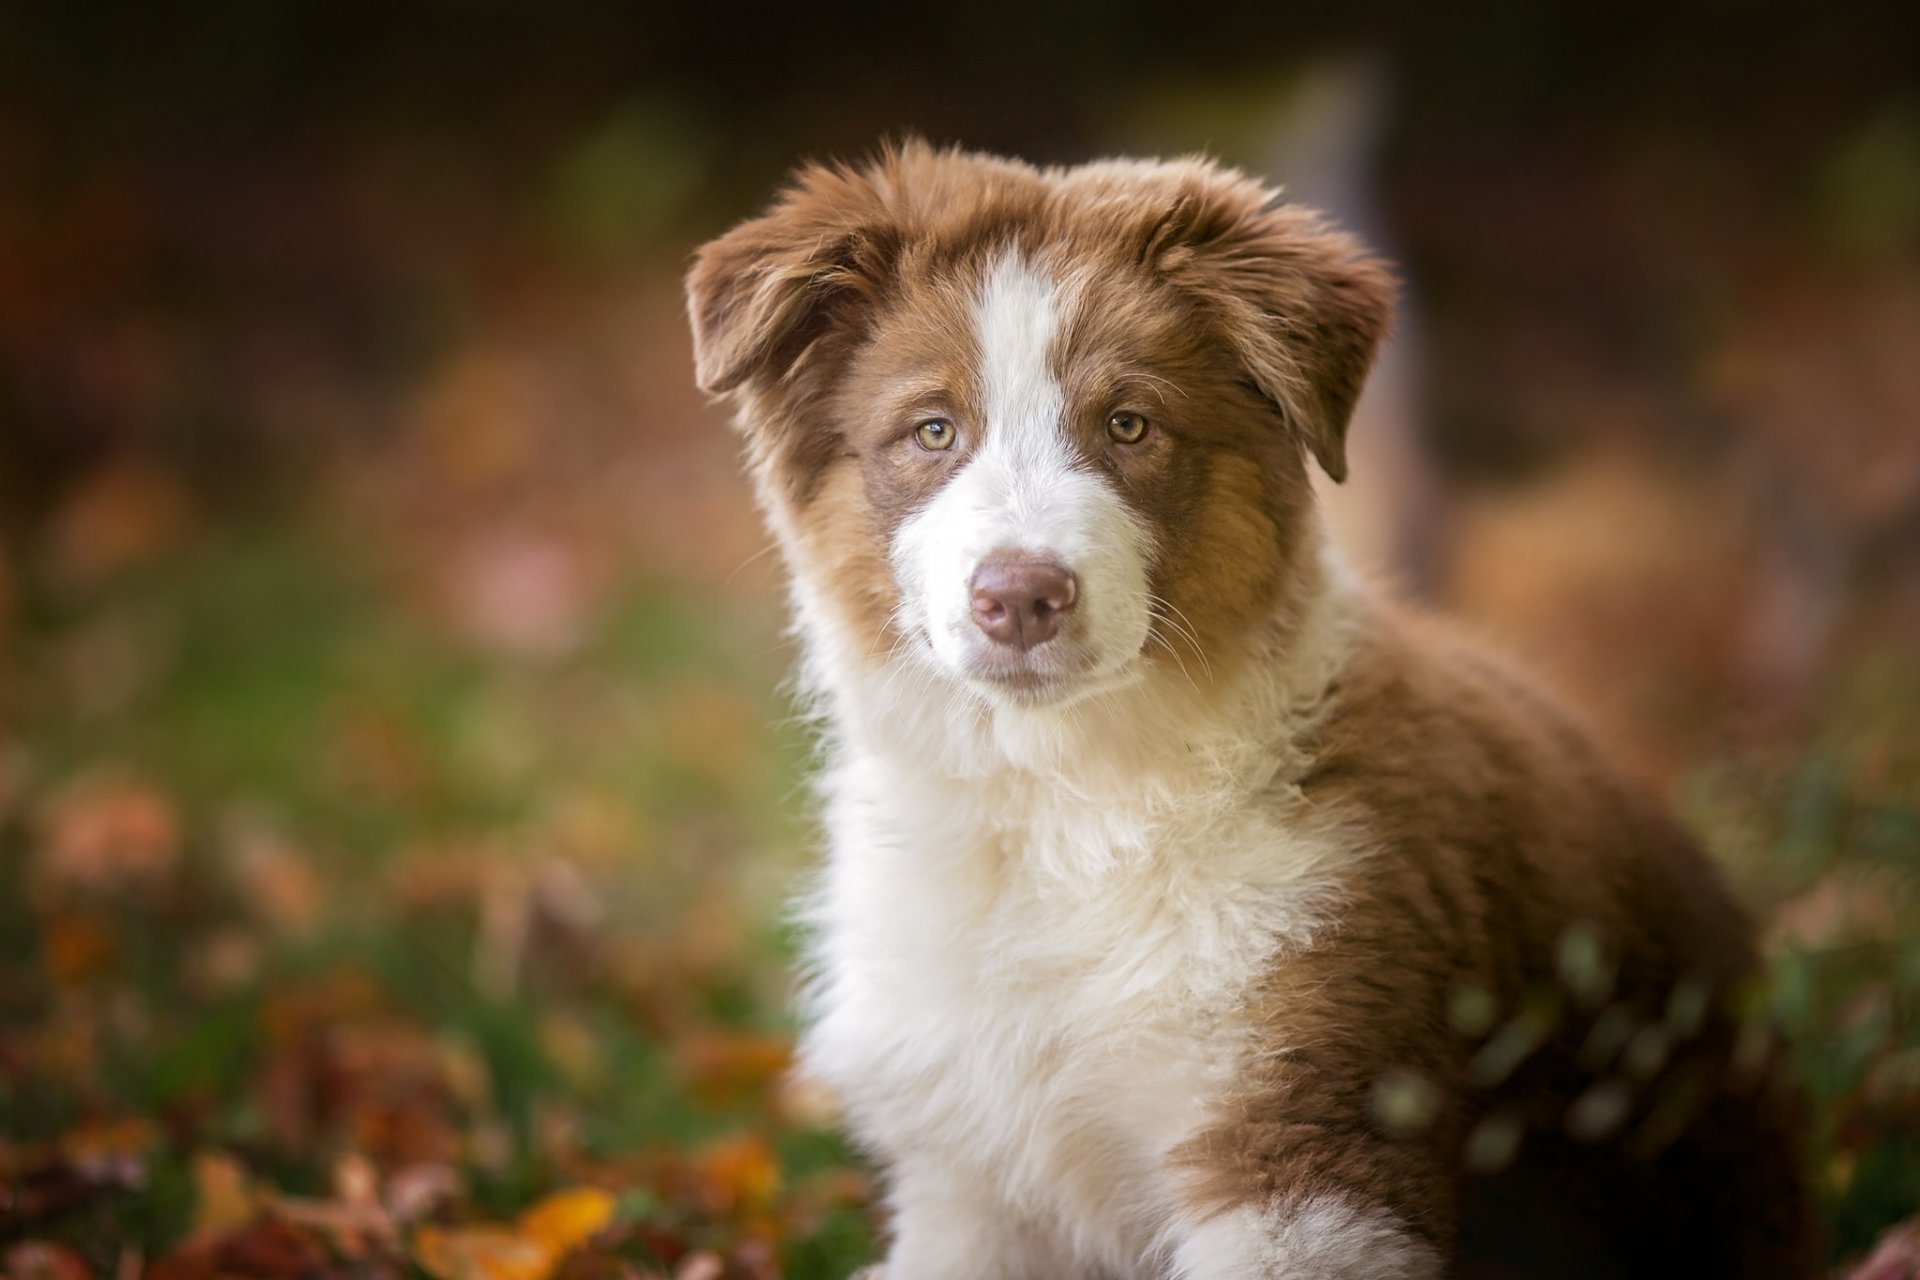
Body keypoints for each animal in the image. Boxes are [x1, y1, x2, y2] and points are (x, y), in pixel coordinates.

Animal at [683, 140, 1804, 1280]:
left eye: (1129, 424)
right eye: (933, 430)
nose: (1021, 597)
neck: (1059, 803)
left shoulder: (1305, 1145)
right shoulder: (973, 1190)